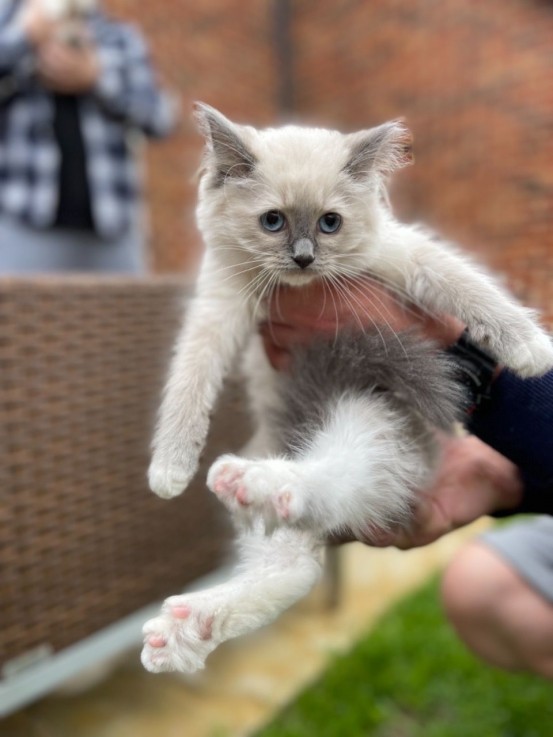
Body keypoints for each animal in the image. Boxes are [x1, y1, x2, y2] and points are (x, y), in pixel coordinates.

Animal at [141, 103, 552, 672]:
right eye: (273, 221)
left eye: (330, 223)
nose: (303, 258)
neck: (301, 288)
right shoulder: (216, 311)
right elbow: (187, 388)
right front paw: (169, 473)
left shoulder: (405, 256)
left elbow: (473, 292)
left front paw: (535, 351)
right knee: (294, 564)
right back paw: (183, 627)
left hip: (371, 416)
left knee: (322, 492)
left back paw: (255, 487)